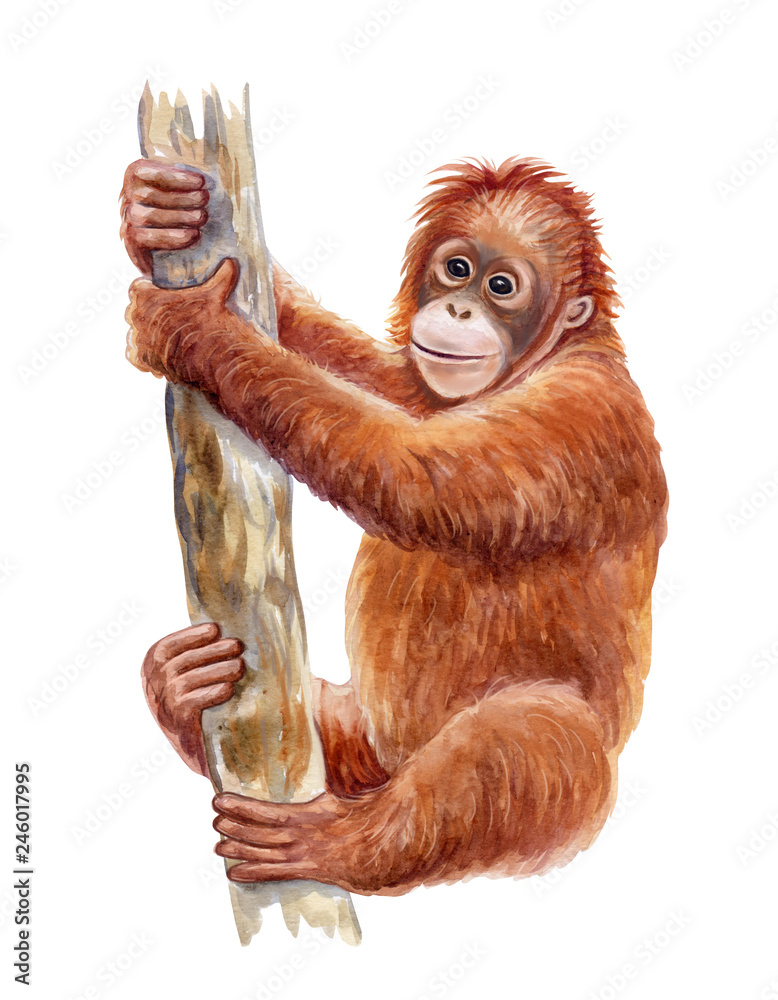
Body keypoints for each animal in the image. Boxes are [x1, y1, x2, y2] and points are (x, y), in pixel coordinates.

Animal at [121, 156, 668, 896]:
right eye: (456, 269)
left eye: (501, 286)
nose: (459, 308)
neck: (537, 363)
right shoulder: (423, 385)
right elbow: (371, 374)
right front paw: (151, 213)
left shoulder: (573, 420)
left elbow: (405, 471)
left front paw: (193, 331)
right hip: (360, 745)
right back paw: (183, 684)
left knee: (535, 734)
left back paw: (336, 848)